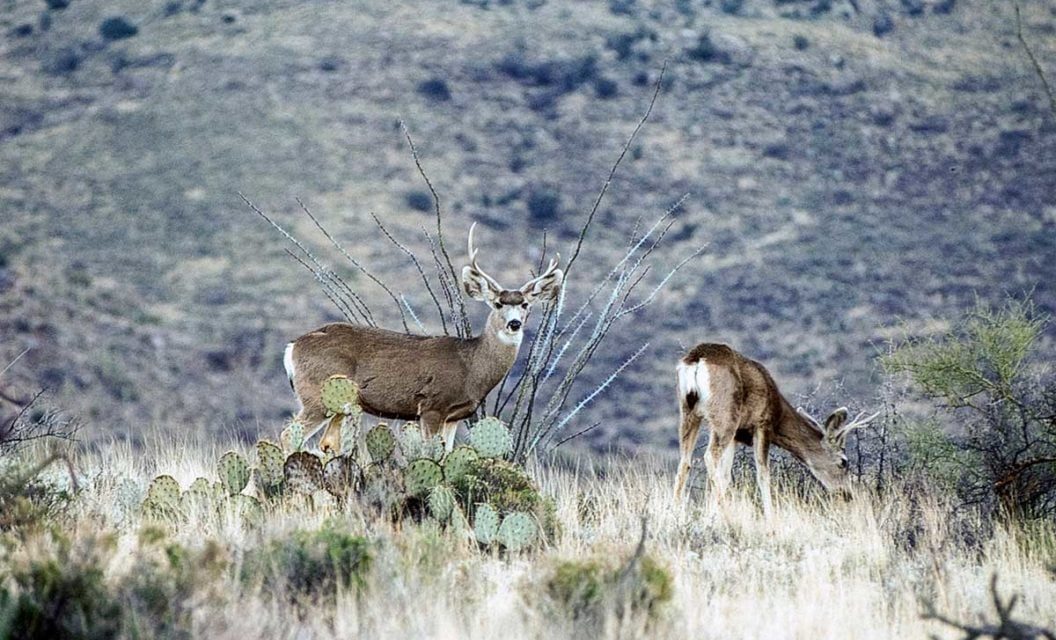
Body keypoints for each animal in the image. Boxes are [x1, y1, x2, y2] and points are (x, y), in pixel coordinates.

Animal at [280, 222, 561, 454]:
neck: (471, 367)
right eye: (498, 304)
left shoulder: (455, 415)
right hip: (318, 394)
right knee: (288, 436)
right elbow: (430, 454)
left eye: (525, 304)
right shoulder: (431, 406)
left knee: (327, 442)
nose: (514, 324)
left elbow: (447, 455)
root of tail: (292, 346)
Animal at [671, 344, 878, 519]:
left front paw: (712, 515)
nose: (847, 494)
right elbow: (763, 474)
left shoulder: (737, 436)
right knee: (708, 456)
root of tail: (697, 359)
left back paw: (676, 511)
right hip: (725, 415)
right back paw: (728, 513)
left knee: (685, 461)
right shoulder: (763, 424)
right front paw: (771, 519)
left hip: (688, 411)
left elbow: (725, 476)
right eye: (844, 462)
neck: (779, 412)